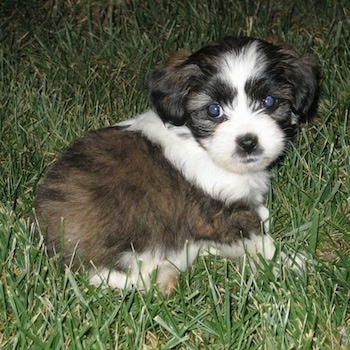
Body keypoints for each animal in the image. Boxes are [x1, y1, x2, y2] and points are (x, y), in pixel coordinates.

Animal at [34, 37, 318, 296]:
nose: (248, 142)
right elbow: (258, 241)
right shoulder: (217, 213)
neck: (200, 145)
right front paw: (288, 263)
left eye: (269, 101)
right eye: (213, 110)